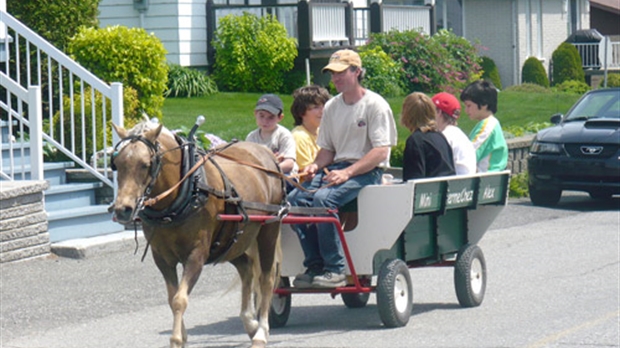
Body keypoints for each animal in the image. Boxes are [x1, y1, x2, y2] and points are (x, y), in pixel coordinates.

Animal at [110, 120, 284, 348]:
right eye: (117, 163)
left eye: (145, 164)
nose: (123, 209)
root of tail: (267, 154)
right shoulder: (162, 258)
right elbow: (172, 298)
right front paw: (182, 337)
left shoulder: (196, 255)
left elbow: (179, 299)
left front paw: (176, 340)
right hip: (231, 240)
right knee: (246, 268)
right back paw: (250, 322)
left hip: (268, 230)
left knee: (266, 279)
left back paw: (261, 331)